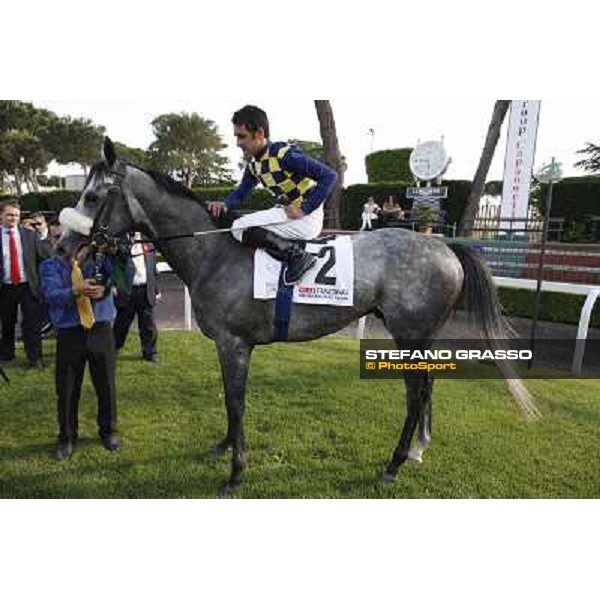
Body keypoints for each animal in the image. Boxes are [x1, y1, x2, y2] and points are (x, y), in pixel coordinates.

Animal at [59, 138, 540, 494]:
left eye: (92, 196)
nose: (63, 247)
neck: (214, 251)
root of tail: (444, 245)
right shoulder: (230, 347)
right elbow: (231, 401)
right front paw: (224, 446)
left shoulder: (234, 344)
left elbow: (235, 400)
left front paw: (236, 472)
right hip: (423, 337)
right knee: (427, 388)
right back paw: (420, 449)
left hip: (409, 335)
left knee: (415, 394)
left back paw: (395, 462)